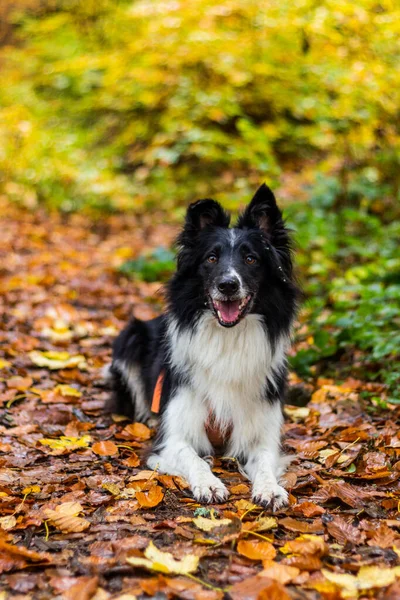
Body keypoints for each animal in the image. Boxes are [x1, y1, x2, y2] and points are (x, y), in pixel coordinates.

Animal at [108, 185, 298, 508]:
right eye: (211, 258)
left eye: (251, 259)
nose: (228, 285)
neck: (227, 339)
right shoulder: (173, 437)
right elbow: (192, 457)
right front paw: (209, 483)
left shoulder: (262, 434)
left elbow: (263, 460)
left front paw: (270, 488)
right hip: (130, 337)